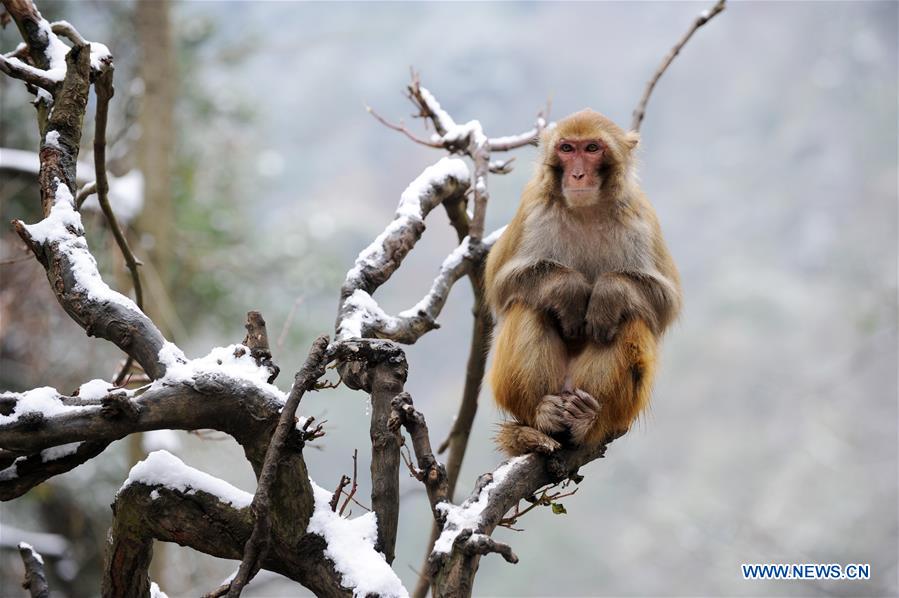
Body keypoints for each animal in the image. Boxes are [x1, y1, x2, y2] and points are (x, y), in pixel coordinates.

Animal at [486, 109, 684, 454]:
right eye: (567, 148)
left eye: (592, 148)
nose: (577, 174)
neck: (587, 210)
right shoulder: (533, 209)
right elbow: (501, 282)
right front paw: (569, 290)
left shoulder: (640, 218)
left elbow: (663, 302)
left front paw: (607, 294)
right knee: (528, 303)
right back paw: (542, 414)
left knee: (632, 316)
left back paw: (587, 420)